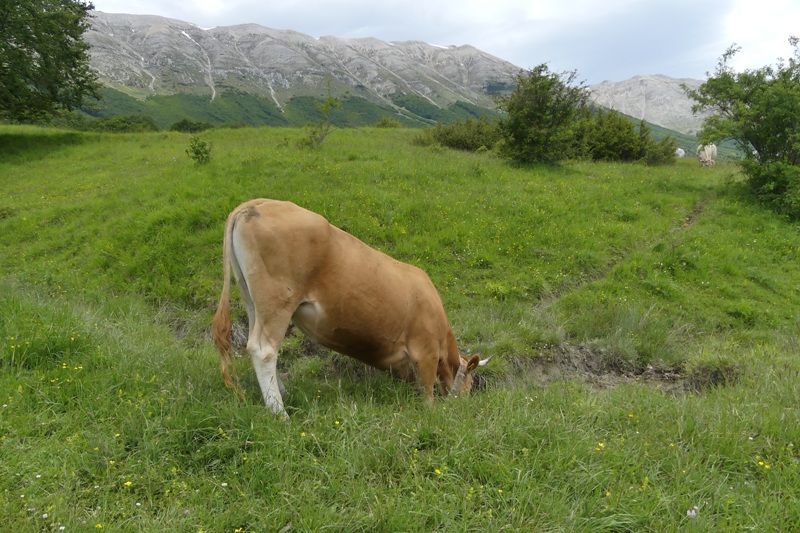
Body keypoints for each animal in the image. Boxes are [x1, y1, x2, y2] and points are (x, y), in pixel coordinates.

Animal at [211, 198, 488, 416]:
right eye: (471, 382)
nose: (464, 403)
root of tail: (258, 203)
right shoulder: (426, 350)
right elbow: (427, 390)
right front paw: (430, 411)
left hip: (253, 301)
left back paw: (282, 392)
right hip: (278, 301)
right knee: (264, 350)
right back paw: (280, 413)